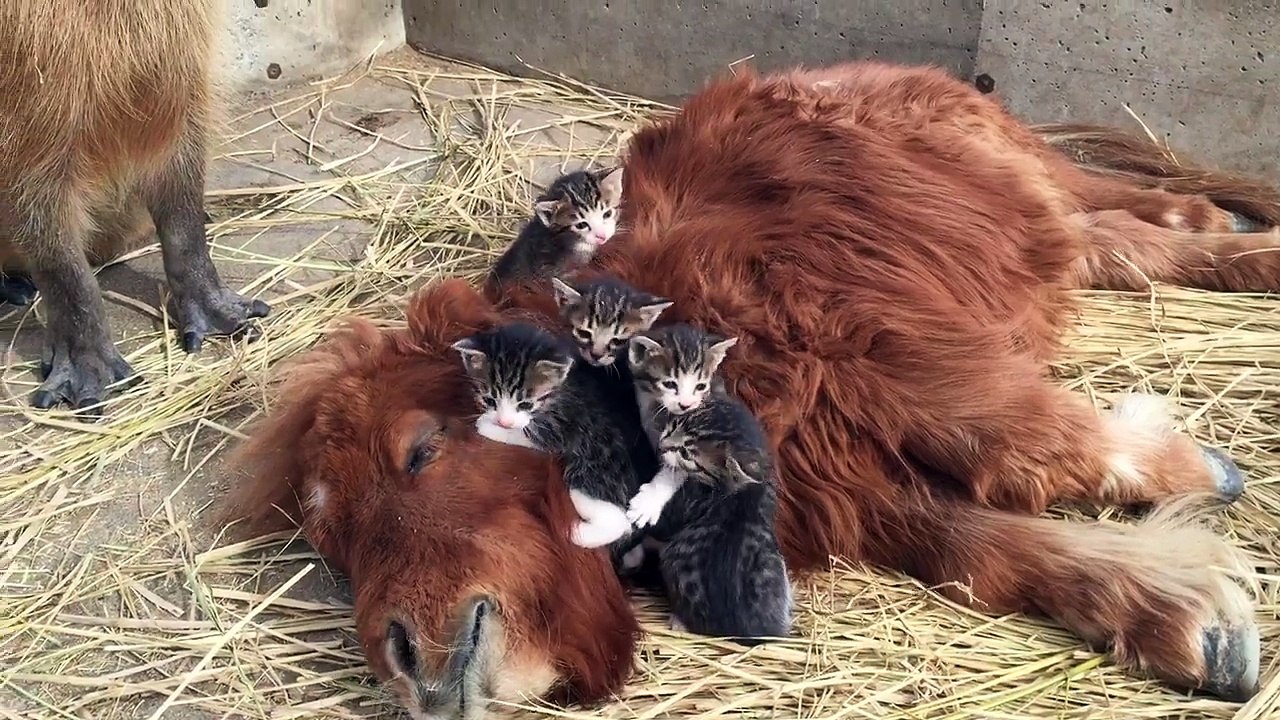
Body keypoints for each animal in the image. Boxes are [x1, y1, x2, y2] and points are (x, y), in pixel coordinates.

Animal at [223, 61, 1280, 719]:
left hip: (1018, 178)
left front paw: (1187, 472)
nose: (408, 665)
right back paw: (1211, 228)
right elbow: (969, 540)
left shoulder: (870, 343)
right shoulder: (822, 468)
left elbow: (1016, 438)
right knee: (1119, 241)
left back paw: (1239, 237)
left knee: (1114, 214)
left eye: (421, 451)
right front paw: (1170, 609)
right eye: (335, 548)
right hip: (1028, 219)